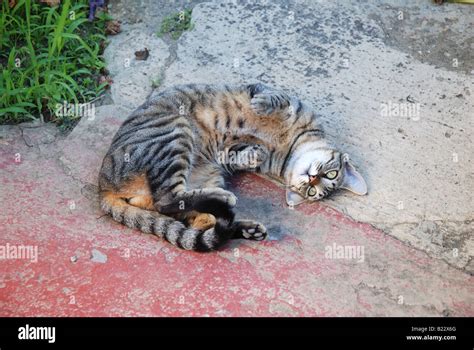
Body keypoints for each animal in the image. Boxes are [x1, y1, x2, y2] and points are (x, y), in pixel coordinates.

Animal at [99, 83, 366, 250]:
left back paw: (245, 226)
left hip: (203, 169)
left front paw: (255, 153)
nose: (312, 179)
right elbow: (276, 99)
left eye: (312, 192)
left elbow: (241, 153)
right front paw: (261, 107)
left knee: (189, 216)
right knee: (171, 202)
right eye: (331, 174)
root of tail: (104, 186)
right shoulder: (270, 92)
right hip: (176, 132)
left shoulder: (227, 154)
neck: (289, 146)